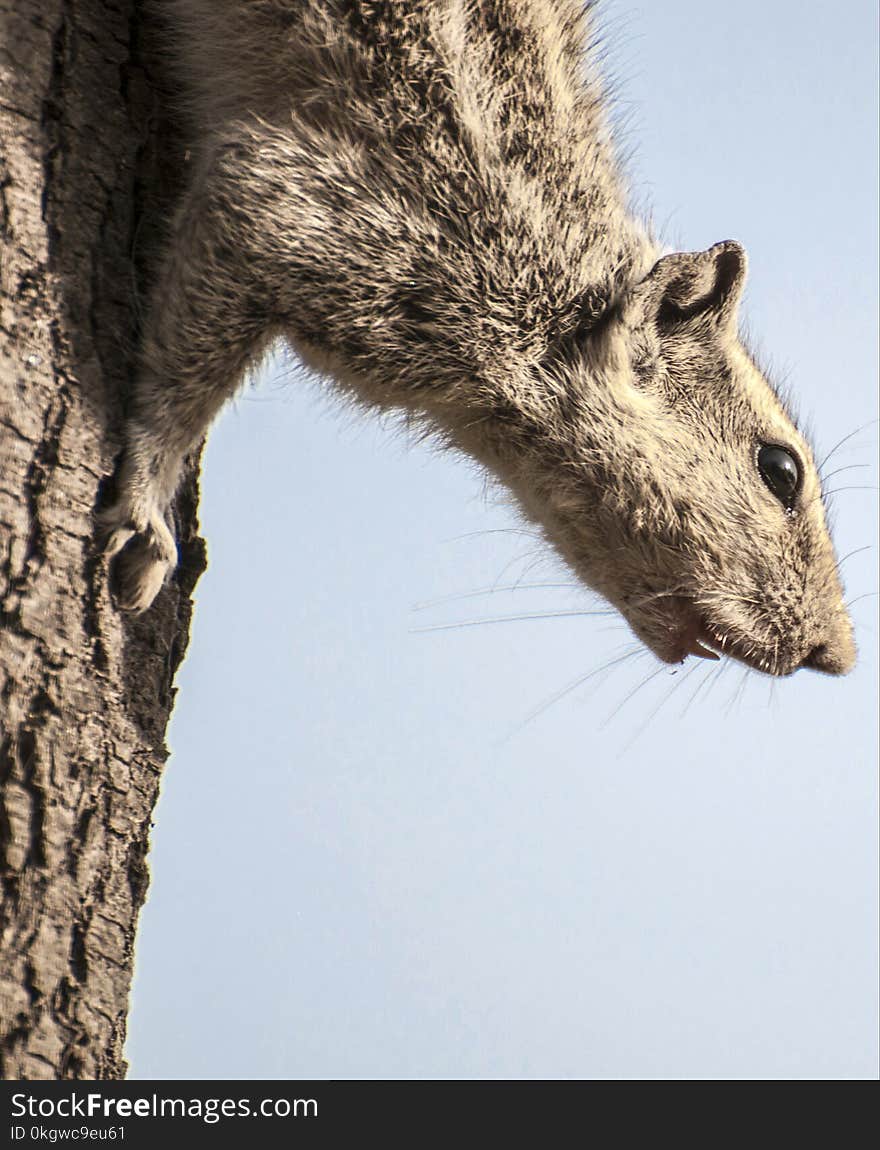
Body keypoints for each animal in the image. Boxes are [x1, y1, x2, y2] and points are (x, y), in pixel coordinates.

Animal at [101, 0, 851, 671]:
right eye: (779, 470)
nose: (834, 656)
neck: (547, 284)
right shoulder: (302, 215)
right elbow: (177, 386)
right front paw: (145, 509)